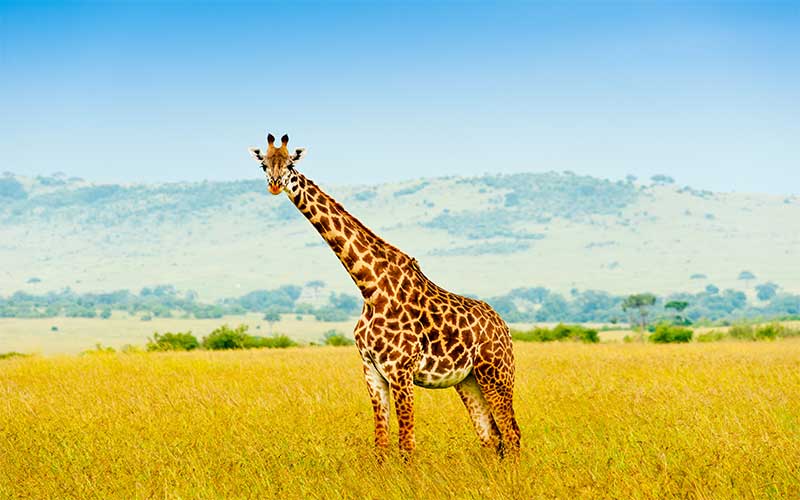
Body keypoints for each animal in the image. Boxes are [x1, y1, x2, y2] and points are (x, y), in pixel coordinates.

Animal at [249, 133, 521, 459]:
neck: (369, 286)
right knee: (491, 436)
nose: (276, 184)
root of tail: (503, 326)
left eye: (290, 164)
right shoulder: (371, 370)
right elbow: (380, 442)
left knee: (512, 433)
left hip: (497, 372)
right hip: (469, 379)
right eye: (264, 164)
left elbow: (407, 444)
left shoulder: (401, 370)